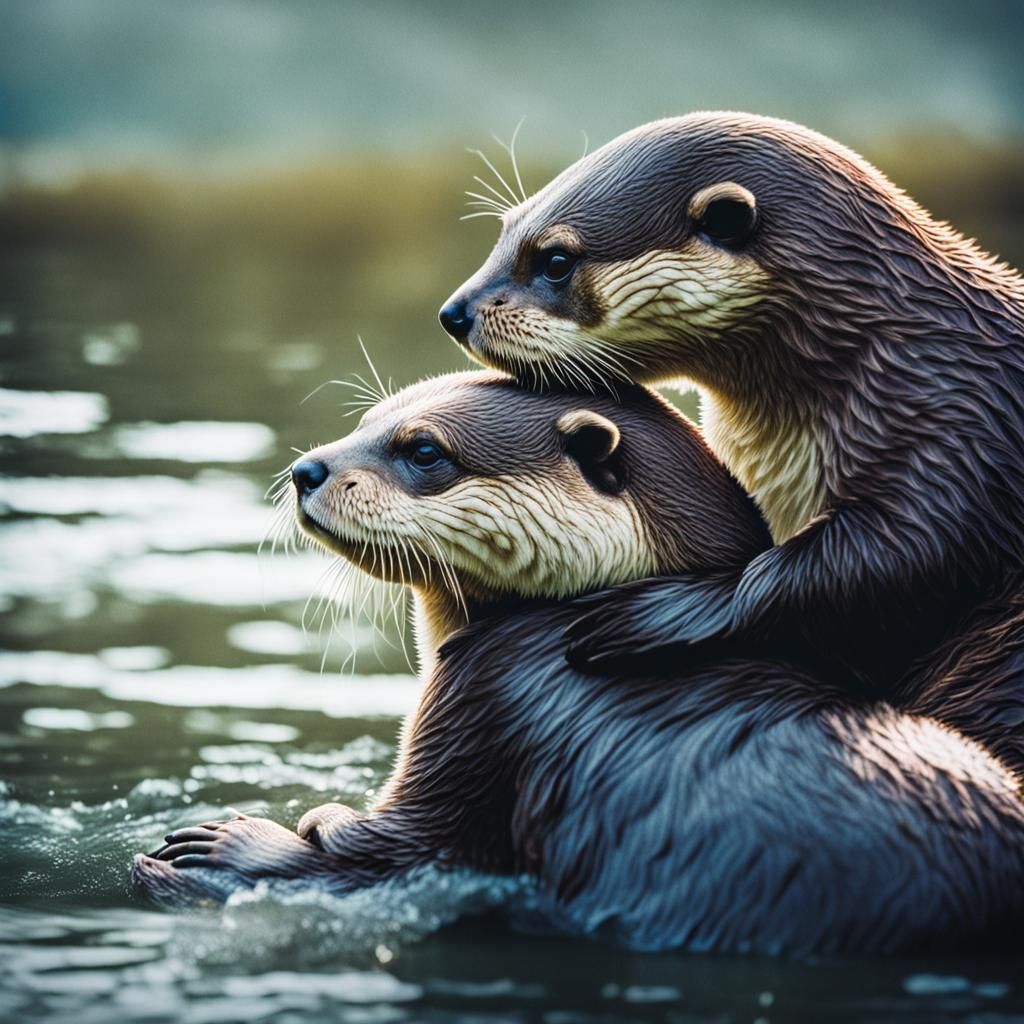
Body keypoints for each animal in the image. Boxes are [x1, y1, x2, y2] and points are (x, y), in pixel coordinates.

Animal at [133, 372, 1024, 955]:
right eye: (367, 420)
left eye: (423, 449)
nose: (308, 468)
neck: (566, 622)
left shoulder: (481, 700)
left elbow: (397, 850)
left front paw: (223, 846)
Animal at [439, 113, 1024, 746]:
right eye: (504, 230)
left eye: (554, 261)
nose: (454, 313)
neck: (887, 358)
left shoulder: (959, 432)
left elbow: (898, 557)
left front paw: (651, 611)